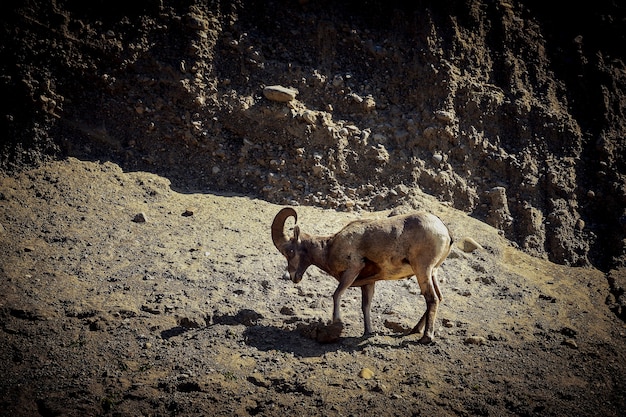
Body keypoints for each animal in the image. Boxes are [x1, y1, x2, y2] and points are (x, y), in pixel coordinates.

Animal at [270, 206, 450, 342]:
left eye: (290, 251)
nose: (293, 277)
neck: (329, 248)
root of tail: (445, 232)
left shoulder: (352, 270)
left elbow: (336, 294)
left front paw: (337, 322)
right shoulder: (368, 283)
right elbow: (365, 306)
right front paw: (368, 332)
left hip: (423, 270)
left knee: (432, 298)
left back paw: (426, 338)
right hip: (432, 272)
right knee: (439, 297)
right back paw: (414, 330)